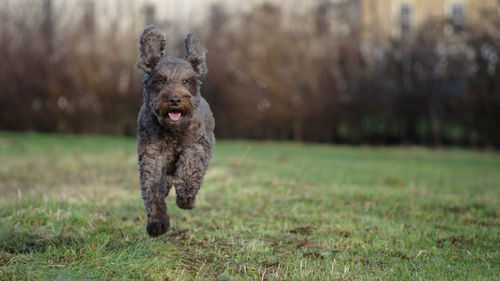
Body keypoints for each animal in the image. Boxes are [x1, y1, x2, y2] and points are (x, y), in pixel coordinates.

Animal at [137, 25, 215, 236]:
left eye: (186, 81)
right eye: (161, 80)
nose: (174, 99)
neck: (173, 131)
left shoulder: (197, 145)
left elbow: (190, 166)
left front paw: (186, 193)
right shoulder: (152, 154)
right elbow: (152, 188)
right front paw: (158, 222)